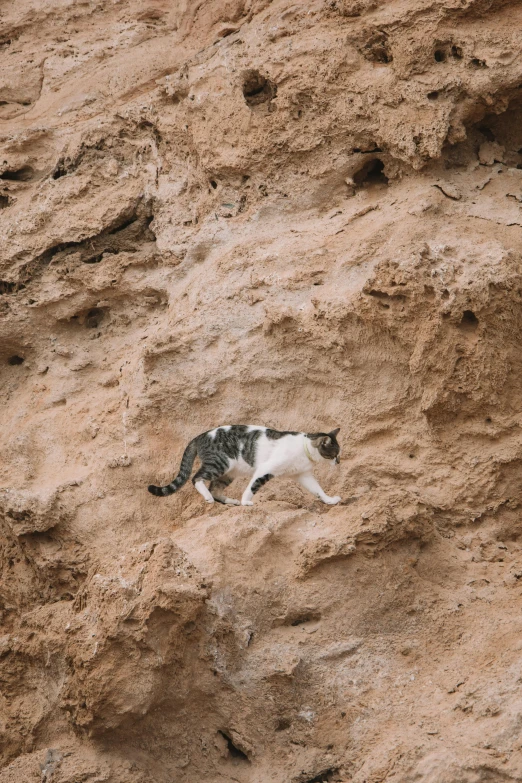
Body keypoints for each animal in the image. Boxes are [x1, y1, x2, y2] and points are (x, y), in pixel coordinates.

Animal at [147, 426, 342, 506]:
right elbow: (253, 486)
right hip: (220, 463)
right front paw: (245, 502)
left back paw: (229, 501)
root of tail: (199, 436)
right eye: (335, 454)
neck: (304, 447)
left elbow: (318, 490)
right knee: (197, 478)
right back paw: (208, 497)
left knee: (215, 488)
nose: (339, 462)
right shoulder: (266, 468)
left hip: (229, 473)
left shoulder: (303, 475)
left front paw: (329, 500)